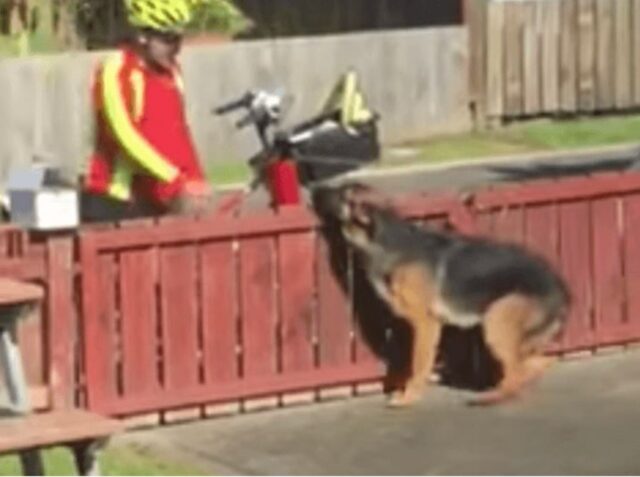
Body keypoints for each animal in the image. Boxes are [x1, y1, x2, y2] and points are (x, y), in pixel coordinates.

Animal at [312, 182, 568, 406]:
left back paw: (492, 397)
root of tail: (561, 289)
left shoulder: (426, 323)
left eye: (344, 193)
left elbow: (418, 364)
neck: (385, 237)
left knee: (517, 370)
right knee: (535, 363)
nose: (314, 187)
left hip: (497, 321)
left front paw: (408, 397)